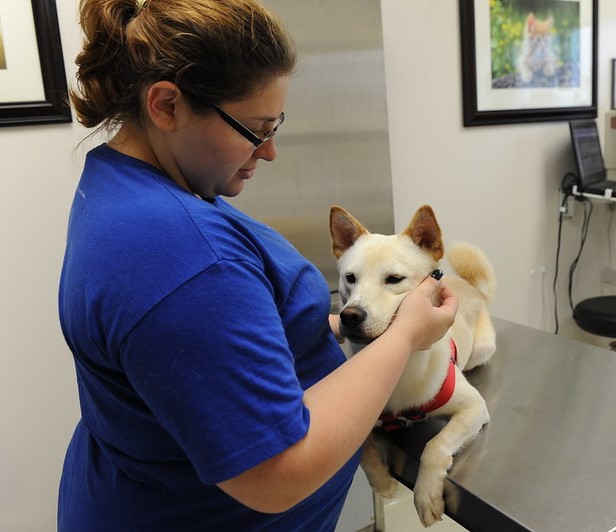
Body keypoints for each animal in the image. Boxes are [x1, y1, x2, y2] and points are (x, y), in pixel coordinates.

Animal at [328, 205, 496, 528]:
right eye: (350, 278)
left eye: (394, 279)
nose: (349, 316)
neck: (400, 368)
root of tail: (467, 285)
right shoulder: (356, 417)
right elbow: (363, 450)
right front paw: (382, 482)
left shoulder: (473, 408)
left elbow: (435, 446)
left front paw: (426, 494)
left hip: (483, 349)